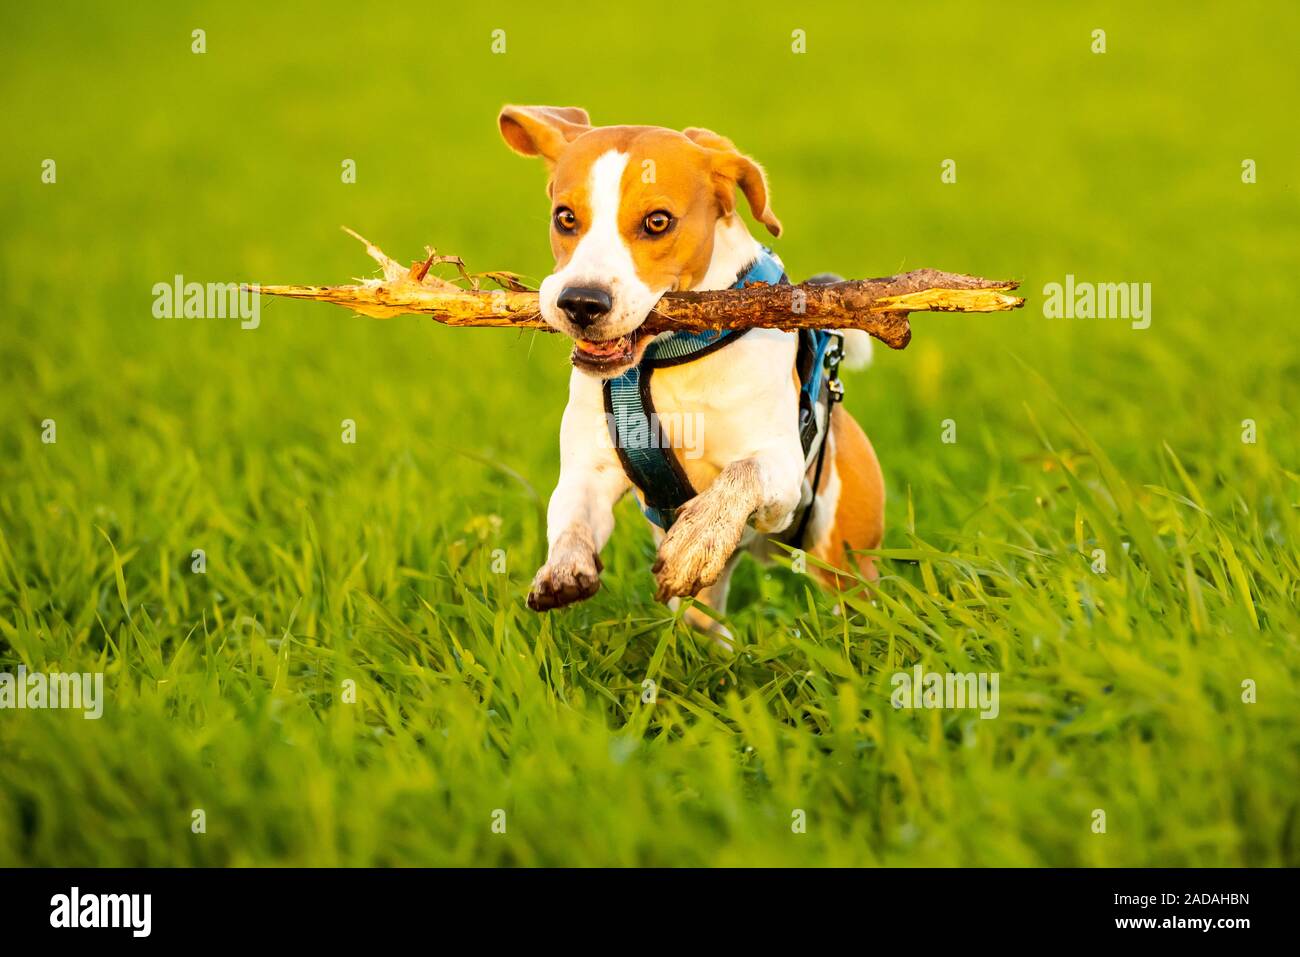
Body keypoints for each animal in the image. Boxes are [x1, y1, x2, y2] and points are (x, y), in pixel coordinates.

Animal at [496, 104, 883, 639]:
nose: (580, 302)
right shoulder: (589, 469)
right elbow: (570, 513)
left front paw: (697, 537)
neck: (668, 359)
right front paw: (563, 568)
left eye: (658, 221)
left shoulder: (781, 466)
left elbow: (742, 472)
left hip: (846, 556)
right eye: (565, 217)